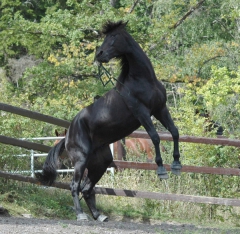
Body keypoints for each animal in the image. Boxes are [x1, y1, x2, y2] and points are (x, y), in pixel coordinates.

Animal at [36, 21, 181, 223]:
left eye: (113, 37)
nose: (99, 54)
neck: (143, 80)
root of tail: (68, 136)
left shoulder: (160, 110)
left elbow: (174, 132)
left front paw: (176, 165)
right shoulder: (142, 113)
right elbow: (155, 137)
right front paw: (161, 170)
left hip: (100, 163)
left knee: (86, 189)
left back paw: (99, 216)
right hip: (81, 161)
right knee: (74, 186)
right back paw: (81, 215)